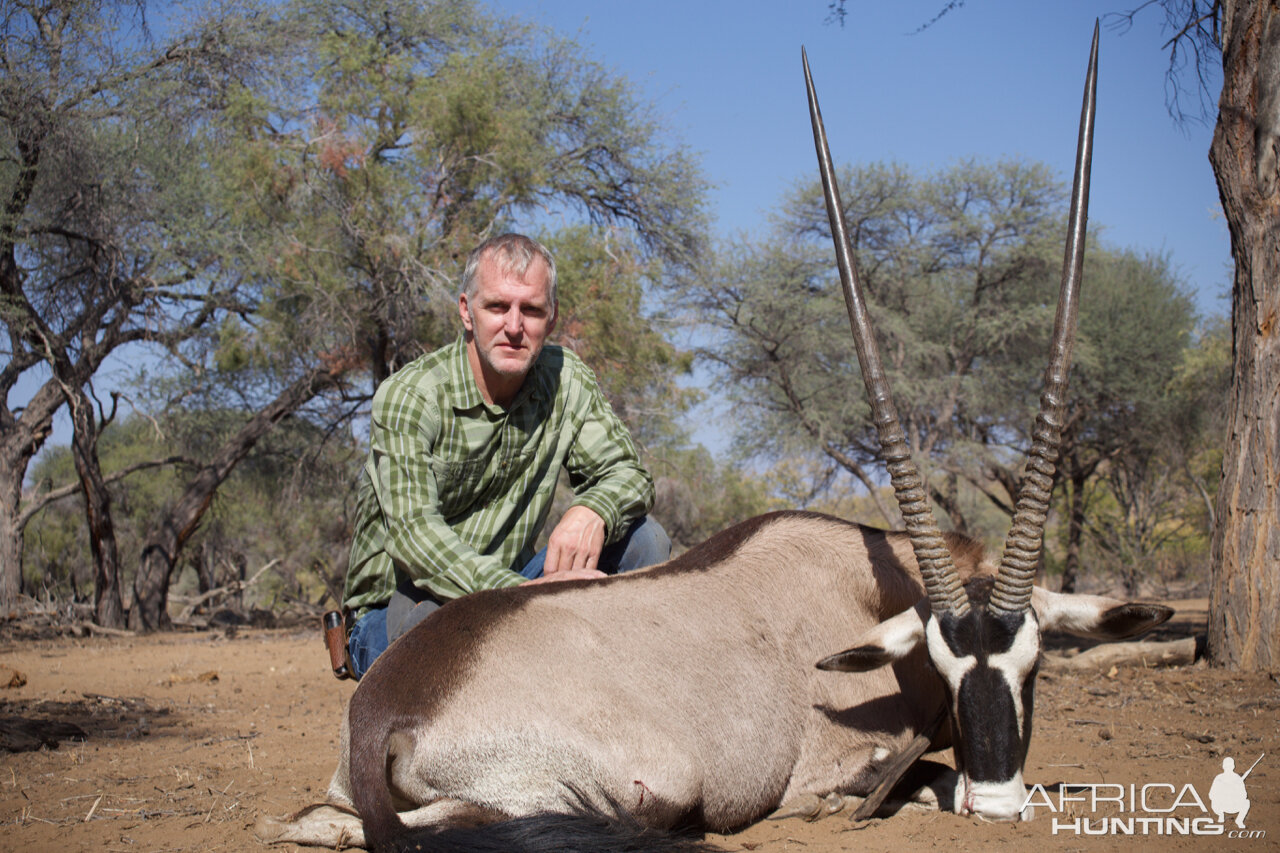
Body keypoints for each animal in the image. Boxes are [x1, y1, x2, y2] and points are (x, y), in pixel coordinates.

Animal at [257, 26, 1172, 850]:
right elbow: (914, 775)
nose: (997, 802)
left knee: (316, 821)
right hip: (643, 787)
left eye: (1035, 662)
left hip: (349, 796)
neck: (862, 588)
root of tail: (387, 703)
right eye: (946, 668)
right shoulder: (827, 770)